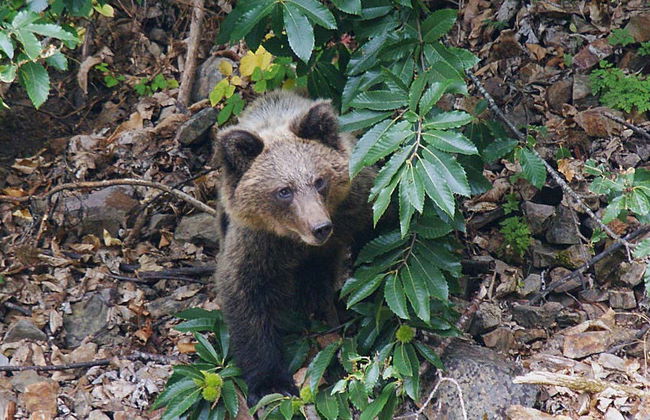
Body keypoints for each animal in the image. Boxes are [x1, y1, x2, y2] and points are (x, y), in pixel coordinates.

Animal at [211, 91, 376, 404]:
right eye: (283, 191)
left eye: (319, 180)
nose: (320, 227)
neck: (296, 240)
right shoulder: (257, 243)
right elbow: (246, 294)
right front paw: (271, 382)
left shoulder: (355, 204)